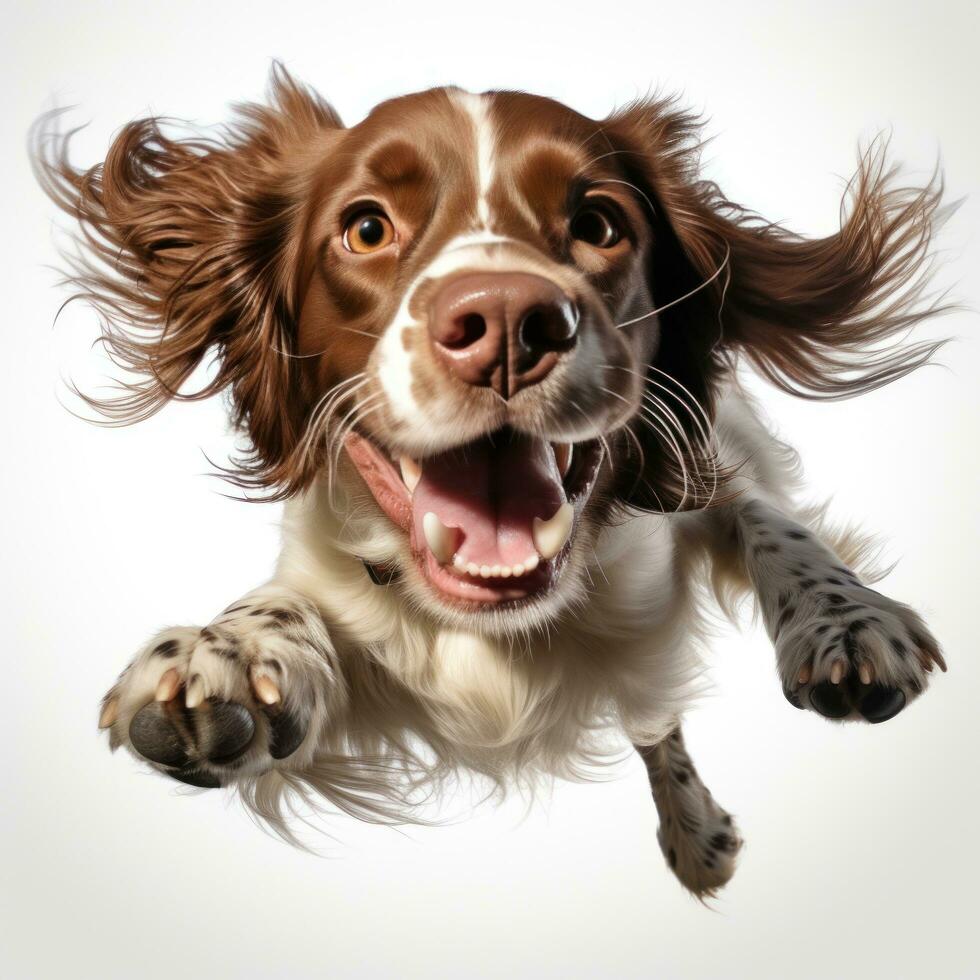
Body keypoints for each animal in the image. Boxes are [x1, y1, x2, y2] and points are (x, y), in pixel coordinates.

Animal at [32, 67, 948, 896]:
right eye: (367, 229)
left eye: (597, 223)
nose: (508, 322)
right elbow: (288, 607)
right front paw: (227, 654)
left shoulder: (703, 468)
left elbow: (768, 525)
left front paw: (848, 620)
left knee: (655, 716)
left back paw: (695, 831)